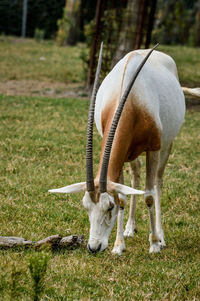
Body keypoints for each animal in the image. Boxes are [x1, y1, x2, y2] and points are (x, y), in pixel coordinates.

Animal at [49, 42, 199, 253]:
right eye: (86, 206)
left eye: (109, 206)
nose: (93, 247)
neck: (133, 100)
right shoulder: (118, 155)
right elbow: (122, 197)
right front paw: (118, 246)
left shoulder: (153, 148)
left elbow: (149, 196)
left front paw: (154, 244)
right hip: (131, 154)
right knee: (135, 174)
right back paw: (130, 228)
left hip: (166, 145)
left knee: (158, 182)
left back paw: (161, 237)